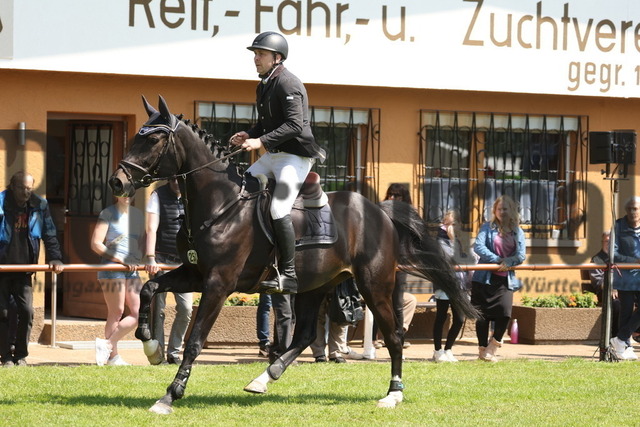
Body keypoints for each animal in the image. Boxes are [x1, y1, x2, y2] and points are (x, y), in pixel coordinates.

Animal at [110, 97, 478, 414]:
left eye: (154, 140)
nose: (117, 182)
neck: (220, 205)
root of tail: (379, 212)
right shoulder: (194, 274)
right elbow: (150, 288)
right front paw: (151, 347)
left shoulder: (218, 283)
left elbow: (195, 341)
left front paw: (170, 395)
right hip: (315, 286)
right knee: (304, 335)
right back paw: (264, 377)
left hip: (374, 286)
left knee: (395, 335)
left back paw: (392, 394)